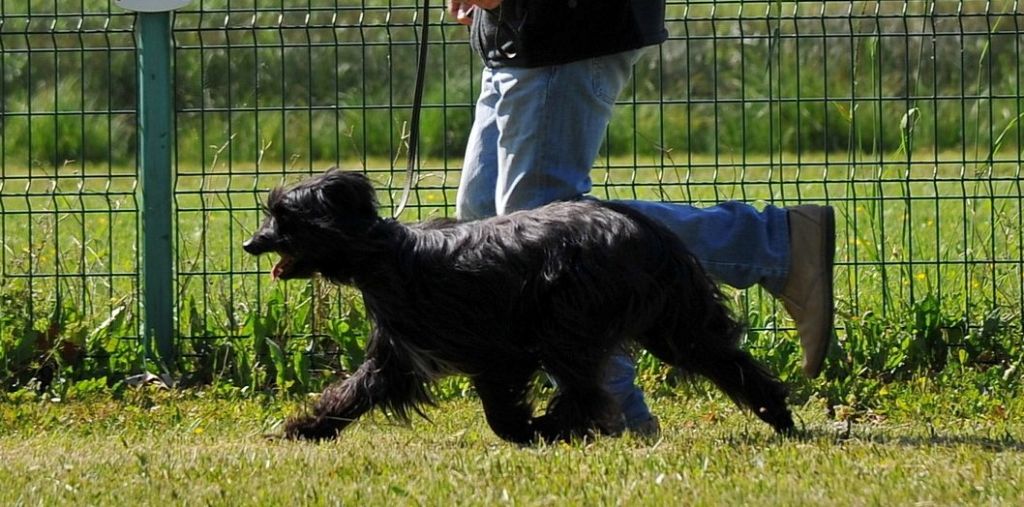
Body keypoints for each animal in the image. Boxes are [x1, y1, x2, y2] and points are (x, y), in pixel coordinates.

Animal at [241, 169, 790, 442]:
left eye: (284, 217)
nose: (250, 244)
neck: (383, 256)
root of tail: (645, 227)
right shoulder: (396, 356)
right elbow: (353, 391)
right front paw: (305, 428)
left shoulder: (497, 350)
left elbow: (500, 408)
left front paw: (523, 430)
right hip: (672, 323)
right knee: (727, 361)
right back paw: (779, 416)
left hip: (570, 321)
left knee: (583, 392)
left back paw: (553, 428)